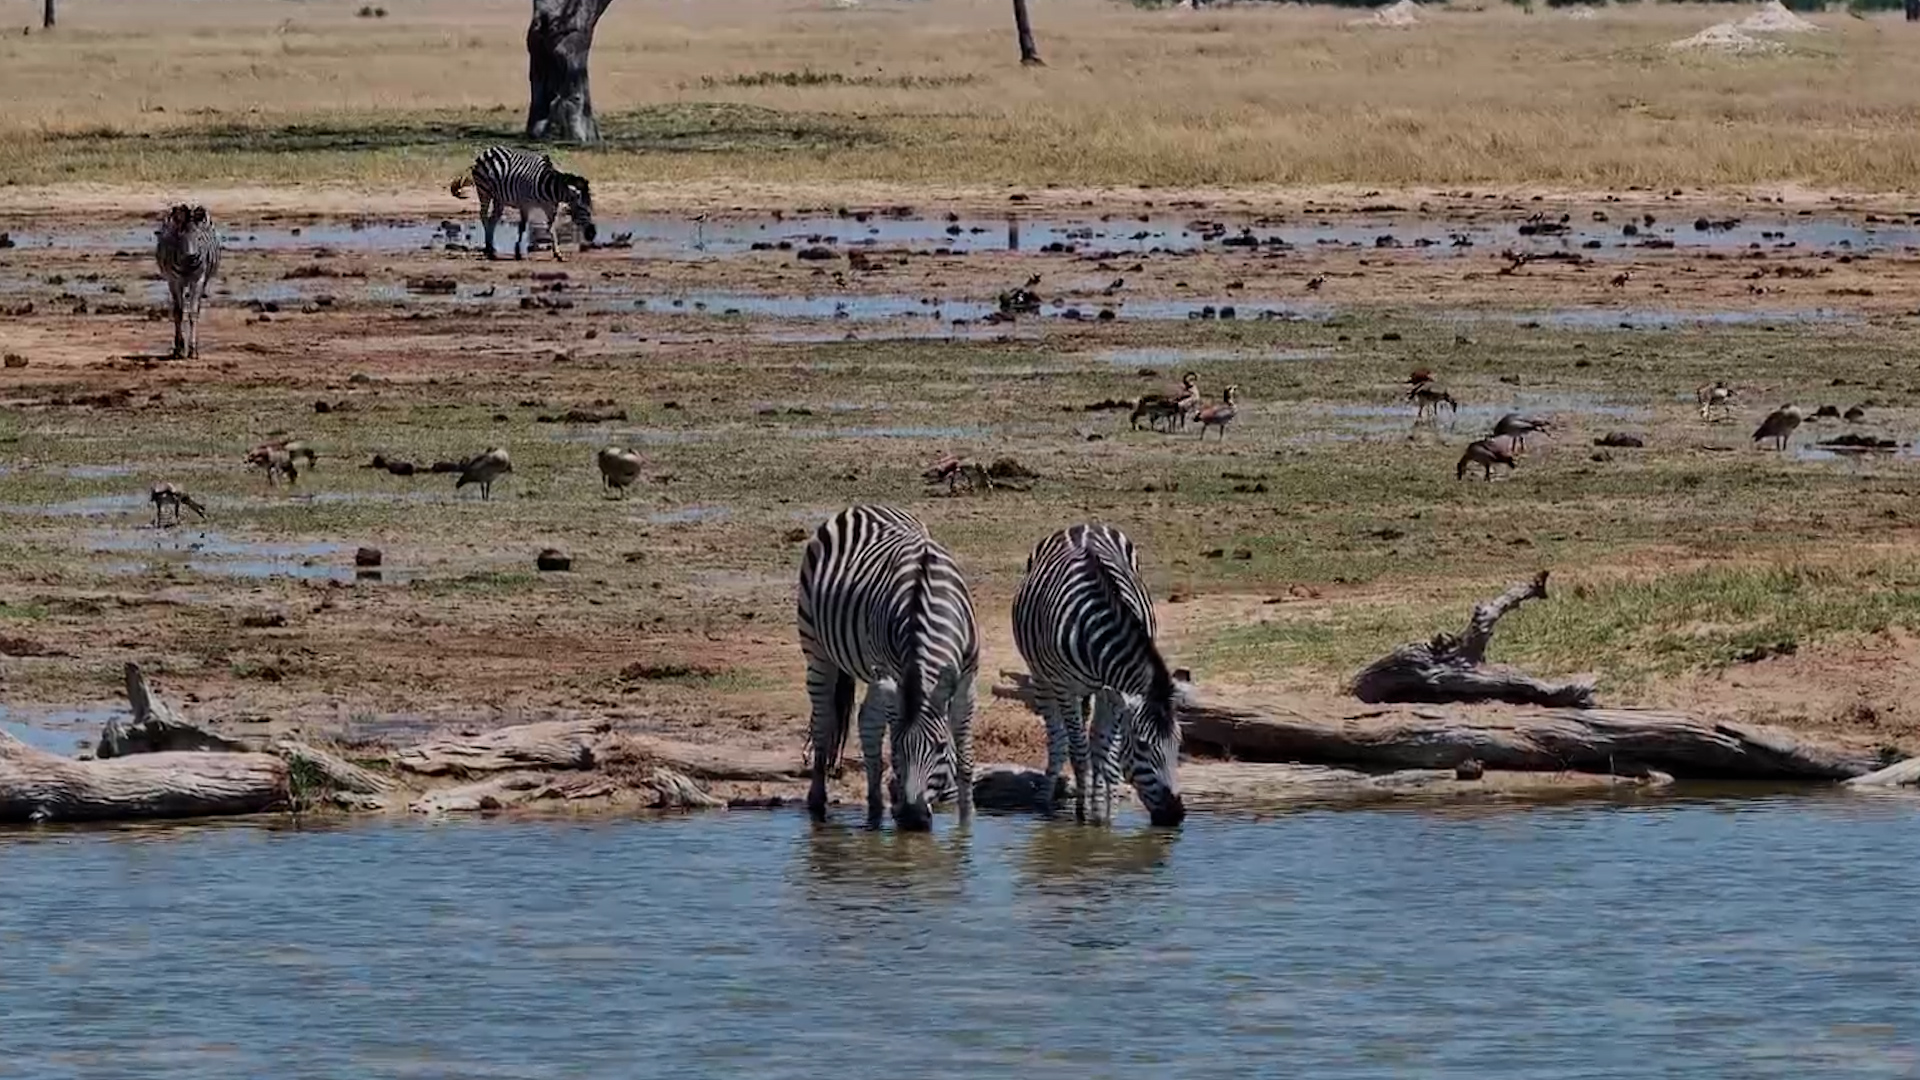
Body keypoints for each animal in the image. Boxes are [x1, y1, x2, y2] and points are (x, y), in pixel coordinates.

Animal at [154, 204, 221, 359]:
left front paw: (192, 350)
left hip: (202, 280)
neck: (187, 266)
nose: (192, 257)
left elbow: (193, 313)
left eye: (199, 238)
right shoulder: (174, 281)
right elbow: (178, 313)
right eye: (180, 237)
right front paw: (179, 348)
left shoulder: (198, 280)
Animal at [449, 146, 597, 261]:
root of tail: (487, 151)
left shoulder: (551, 207)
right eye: (582, 208)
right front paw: (518, 252)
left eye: (591, 207)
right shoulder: (525, 204)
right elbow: (522, 227)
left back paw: (492, 248)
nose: (592, 234)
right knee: (484, 216)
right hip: (484, 190)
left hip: (499, 198)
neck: (548, 188)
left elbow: (551, 228)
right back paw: (488, 249)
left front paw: (558, 254)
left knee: (493, 219)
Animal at [797, 505, 980, 831]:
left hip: (874, 675)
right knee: (824, 723)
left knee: (865, 720)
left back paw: (875, 807)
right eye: (895, 747)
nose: (913, 819)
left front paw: (966, 821)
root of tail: (859, 507)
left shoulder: (967, 678)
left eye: (941, 747)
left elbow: (965, 757)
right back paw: (820, 803)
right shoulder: (895, 673)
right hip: (817, 650)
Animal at [1012, 524, 1186, 827]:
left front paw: (1104, 814)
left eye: (1179, 743)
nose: (1176, 815)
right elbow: (1079, 751)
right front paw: (1083, 816)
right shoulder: (1065, 687)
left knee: (1093, 739)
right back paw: (1045, 800)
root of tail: (1082, 525)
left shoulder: (1113, 691)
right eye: (1142, 746)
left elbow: (1107, 752)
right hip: (1041, 677)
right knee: (1058, 739)